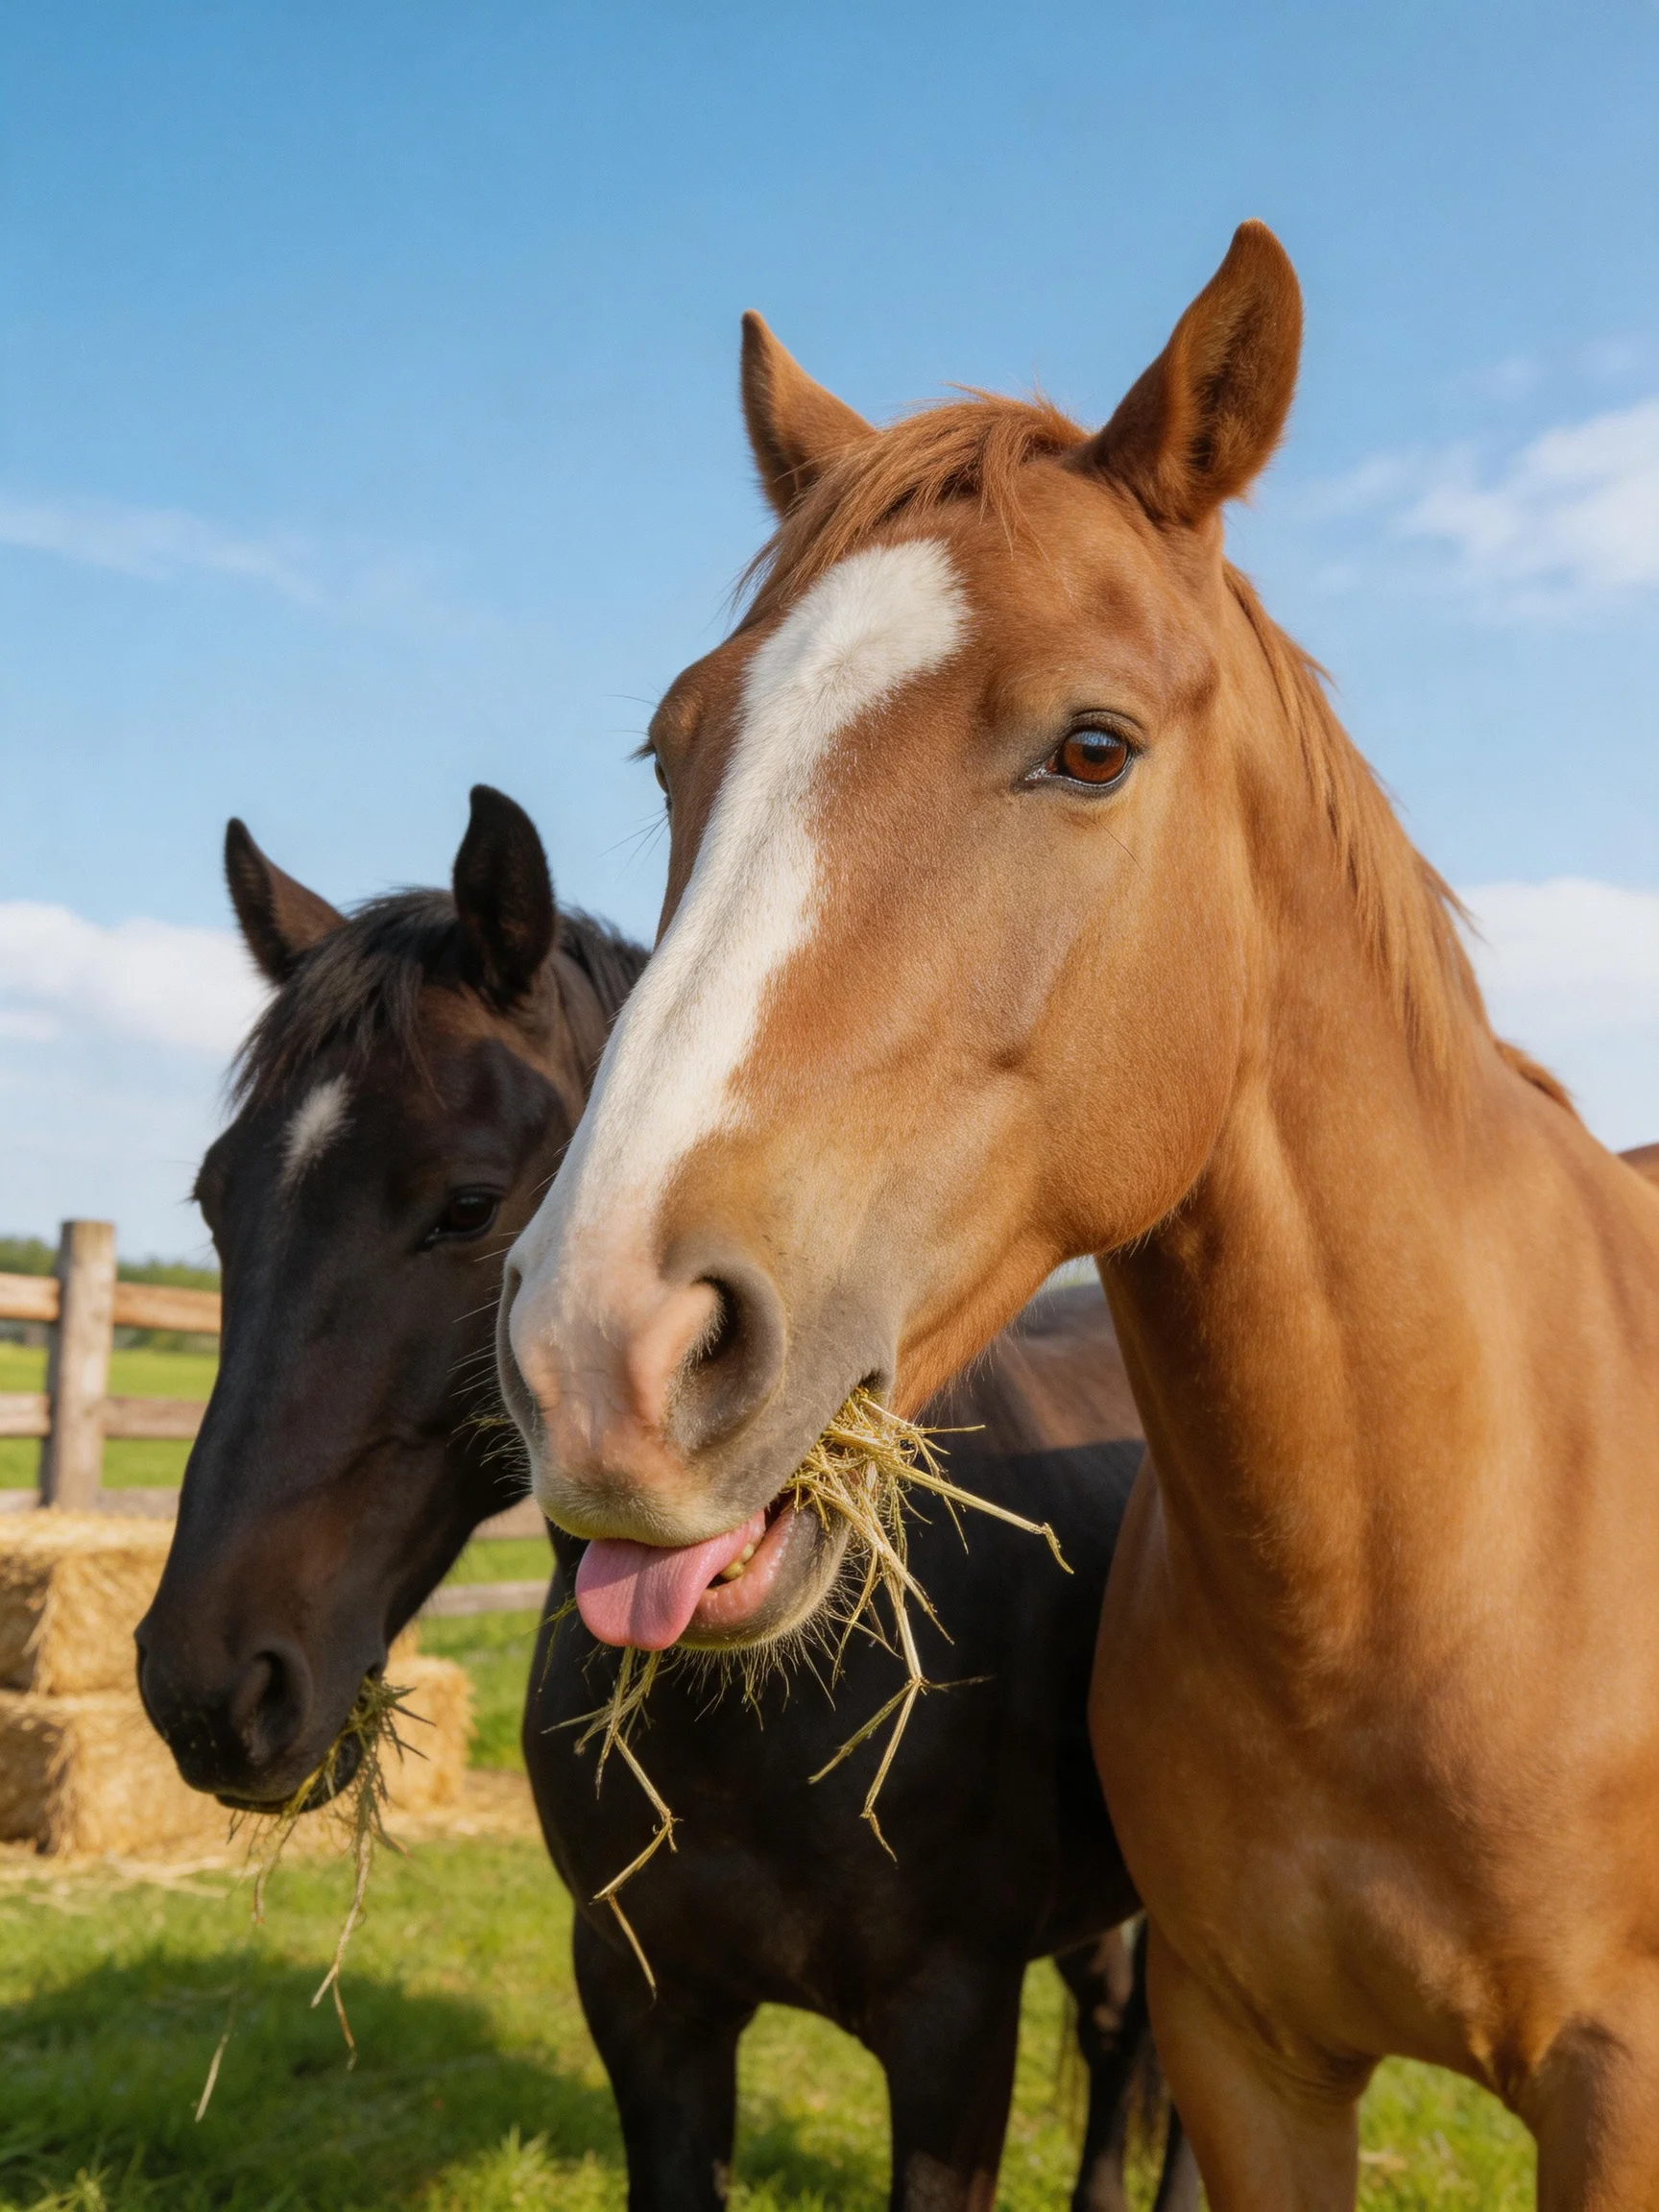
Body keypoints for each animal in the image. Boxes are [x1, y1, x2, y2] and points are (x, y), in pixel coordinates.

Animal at [134, 793, 1197, 2212]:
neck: (763, 1683)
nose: (206, 1687)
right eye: (217, 1202)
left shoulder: (956, 2036)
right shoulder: (647, 2010)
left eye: (466, 1206)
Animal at [498, 223, 1659, 2208]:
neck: (1428, 1563)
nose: (601, 1348)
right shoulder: (1247, 2054)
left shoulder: (1617, 2087)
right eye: (671, 749)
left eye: (1093, 747)